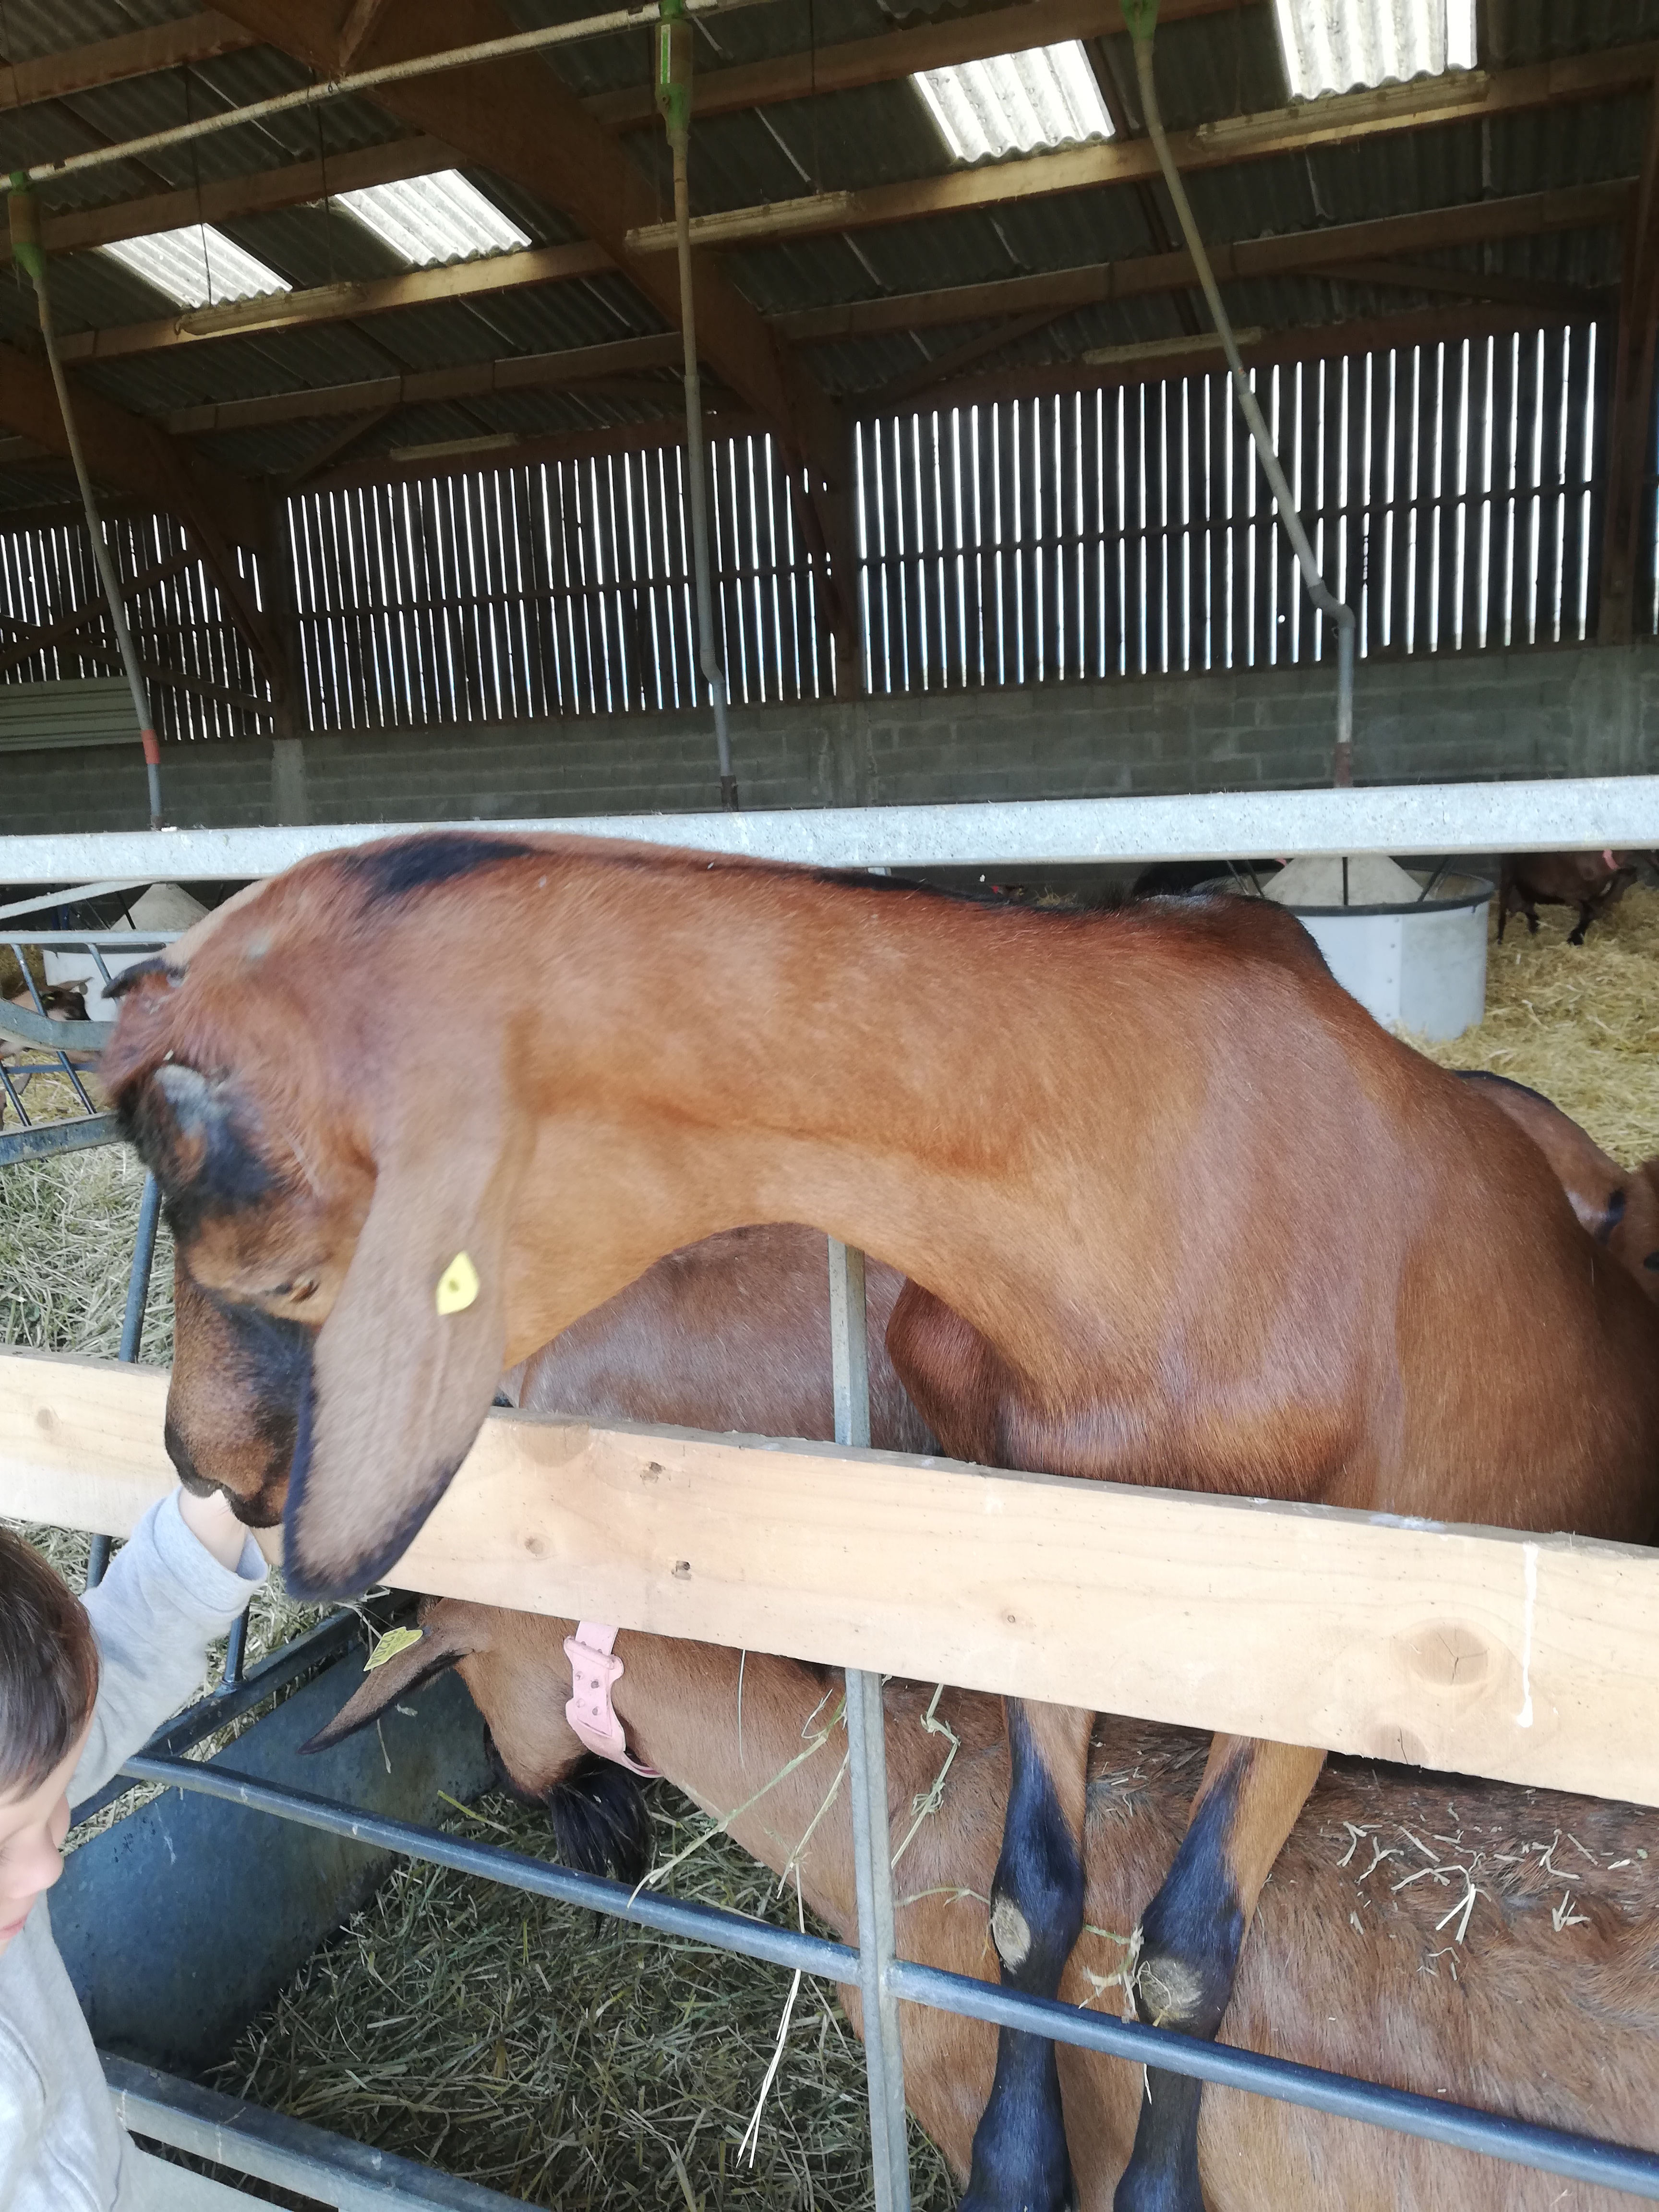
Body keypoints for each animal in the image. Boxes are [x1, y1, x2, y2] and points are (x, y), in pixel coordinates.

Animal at [1497, 851, 1637, 946]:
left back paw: (1533, 927)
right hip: (1508, 877)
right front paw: (1575, 939)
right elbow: (1589, 913)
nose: (1634, 869)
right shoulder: (1569, 895)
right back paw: (1500, 937)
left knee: (1527, 906)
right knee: (1504, 907)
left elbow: (1593, 912)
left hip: (1526, 886)